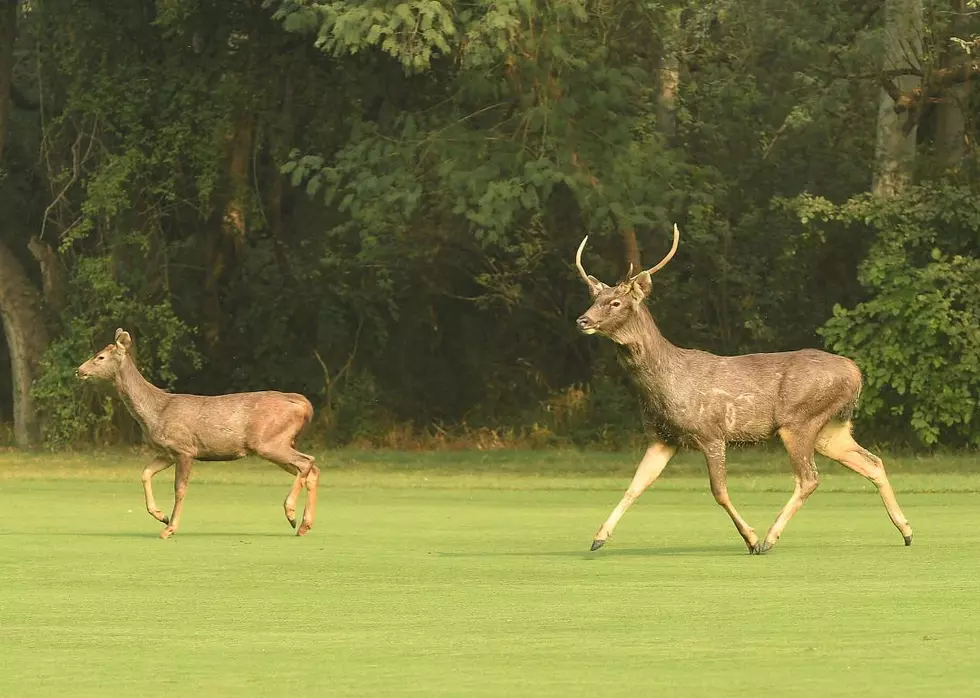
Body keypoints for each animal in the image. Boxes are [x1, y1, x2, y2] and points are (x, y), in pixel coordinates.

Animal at [78, 328, 322, 540]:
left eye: (100, 357)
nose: (79, 370)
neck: (155, 412)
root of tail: (303, 403)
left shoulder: (185, 448)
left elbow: (180, 489)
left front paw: (169, 528)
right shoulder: (167, 452)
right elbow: (145, 473)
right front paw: (161, 516)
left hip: (269, 442)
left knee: (307, 461)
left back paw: (291, 513)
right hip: (279, 443)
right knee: (312, 469)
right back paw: (304, 525)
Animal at [576, 226, 912, 552]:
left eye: (616, 302)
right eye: (594, 299)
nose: (583, 320)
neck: (664, 385)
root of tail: (855, 372)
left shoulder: (710, 432)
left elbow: (719, 491)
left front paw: (749, 538)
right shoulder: (663, 438)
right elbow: (635, 485)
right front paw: (598, 538)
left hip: (800, 419)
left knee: (809, 478)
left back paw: (768, 539)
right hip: (830, 428)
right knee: (872, 462)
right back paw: (906, 531)